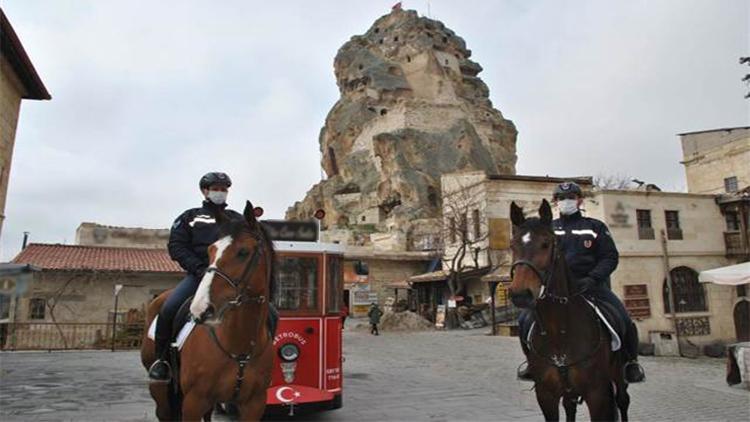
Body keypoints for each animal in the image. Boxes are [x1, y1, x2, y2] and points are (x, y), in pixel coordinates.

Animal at [140, 202, 274, 422]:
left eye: (243, 252)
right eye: (211, 250)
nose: (201, 308)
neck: (238, 346)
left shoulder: (254, 404)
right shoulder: (194, 402)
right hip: (161, 393)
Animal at [512, 200, 628, 422]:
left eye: (546, 243)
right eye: (512, 245)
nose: (520, 294)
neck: (559, 331)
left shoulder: (597, 394)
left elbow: (609, 255)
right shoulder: (546, 395)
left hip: (618, 375)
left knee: (623, 402)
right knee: (570, 406)